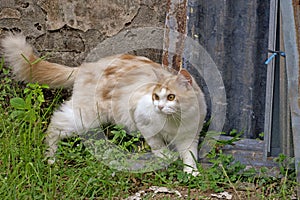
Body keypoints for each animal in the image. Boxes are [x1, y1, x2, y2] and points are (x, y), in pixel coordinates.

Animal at [1, 34, 206, 177]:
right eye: (156, 96)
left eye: (171, 97)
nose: (160, 107)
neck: (175, 121)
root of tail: (85, 66)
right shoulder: (143, 121)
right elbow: (157, 145)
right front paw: (165, 157)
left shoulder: (189, 137)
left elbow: (189, 156)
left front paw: (192, 173)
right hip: (85, 117)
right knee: (55, 124)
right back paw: (51, 158)